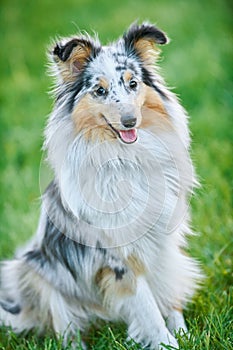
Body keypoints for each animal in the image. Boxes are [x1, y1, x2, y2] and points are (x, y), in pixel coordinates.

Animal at [0, 22, 200, 350]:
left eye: (133, 84)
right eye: (100, 91)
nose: (130, 121)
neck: (127, 158)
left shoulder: (162, 244)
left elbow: (168, 294)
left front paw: (183, 334)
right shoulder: (119, 257)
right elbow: (147, 308)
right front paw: (166, 343)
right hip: (32, 270)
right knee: (64, 326)